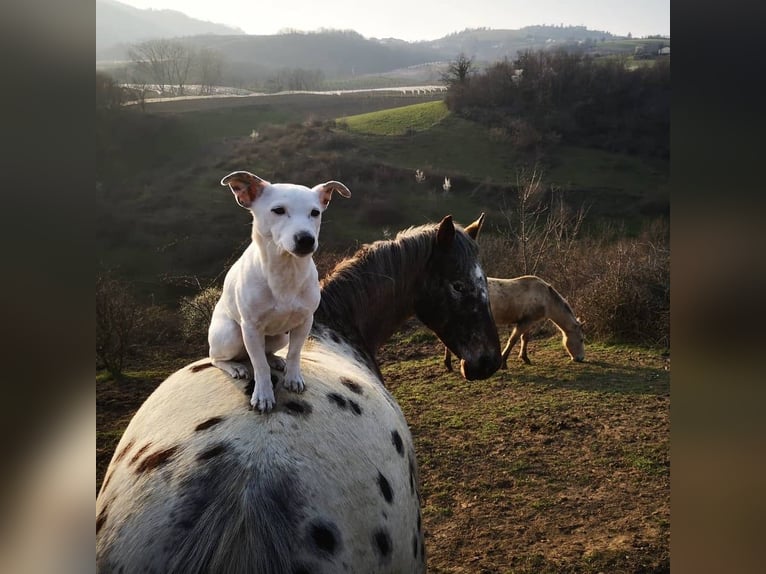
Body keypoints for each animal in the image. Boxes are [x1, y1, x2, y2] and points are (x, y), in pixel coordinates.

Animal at [210, 171, 354, 414]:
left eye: (315, 212)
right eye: (278, 210)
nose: (306, 239)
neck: (286, 271)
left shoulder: (305, 321)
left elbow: (295, 353)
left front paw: (293, 378)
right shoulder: (251, 329)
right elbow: (259, 366)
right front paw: (263, 395)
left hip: (279, 336)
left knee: (268, 352)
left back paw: (276, 360)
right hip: (231, 334)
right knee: (215, 358)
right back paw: (235, 367)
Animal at [448, 274, 584, 374]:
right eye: (582, 339)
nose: (581, 358)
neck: (546, 299)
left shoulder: (529, 322)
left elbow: (525, 339)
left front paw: (525, 358)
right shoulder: (525, 322)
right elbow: (513, 340)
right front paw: (504, 362)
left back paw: (448, 365)